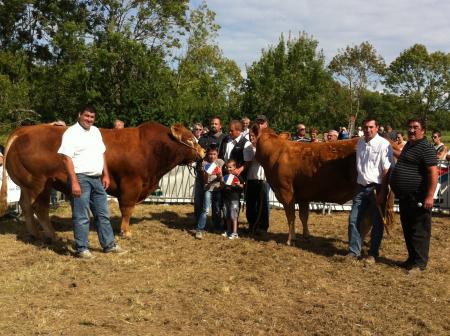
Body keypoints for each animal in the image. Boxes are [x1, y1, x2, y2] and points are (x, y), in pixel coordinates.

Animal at [0, 122, 205, 240]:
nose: (203, 152)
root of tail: (24, 130)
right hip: (40, 184)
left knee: (25, 205)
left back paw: (34, 233)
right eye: (190, 139)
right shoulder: (131, 184)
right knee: (40, 209)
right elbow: (127, 208)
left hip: (26, 185)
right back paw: (52, 235)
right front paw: (125, 231)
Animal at [253, 125, 394, 244]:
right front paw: (305, 236)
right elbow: (304, 216)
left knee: (370, 219)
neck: (276, 153)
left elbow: (291, 216)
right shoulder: (303, 195)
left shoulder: (285, 192)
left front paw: (290, 239)